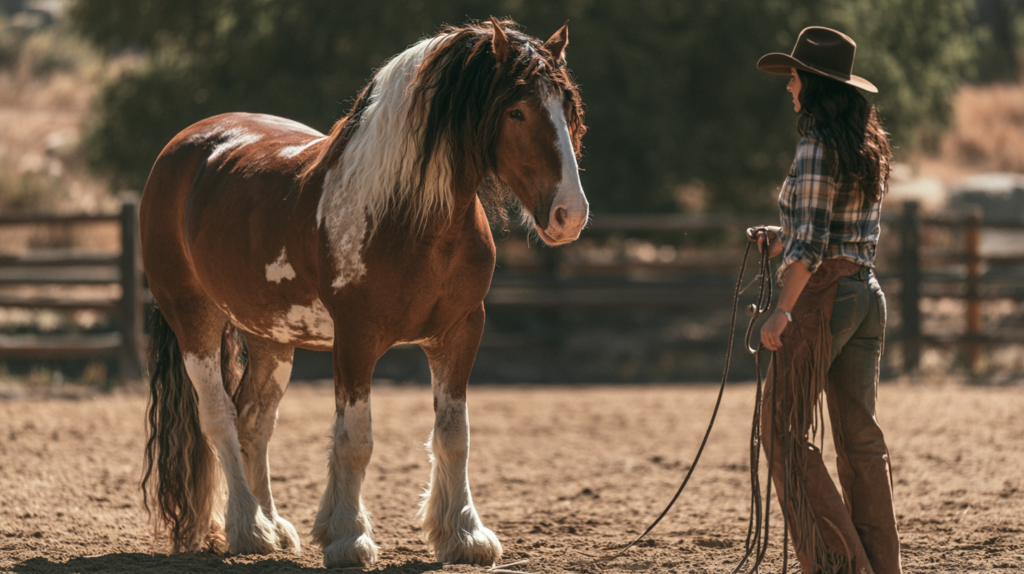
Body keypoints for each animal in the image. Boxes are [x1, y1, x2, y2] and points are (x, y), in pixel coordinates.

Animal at [139, 18, 588, 568]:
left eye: (567, 107)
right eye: (517, 110)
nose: (570, 214)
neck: (413, 217)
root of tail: (183, 148)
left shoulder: (460, 332)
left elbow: (453, 437)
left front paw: (463, 534)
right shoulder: (356, 339)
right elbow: (356, 440)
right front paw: (349, 538)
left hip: (271, 337)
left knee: (254, 422)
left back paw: (275, 526)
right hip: (194, 319)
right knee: (220, 418)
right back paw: (249, 528)